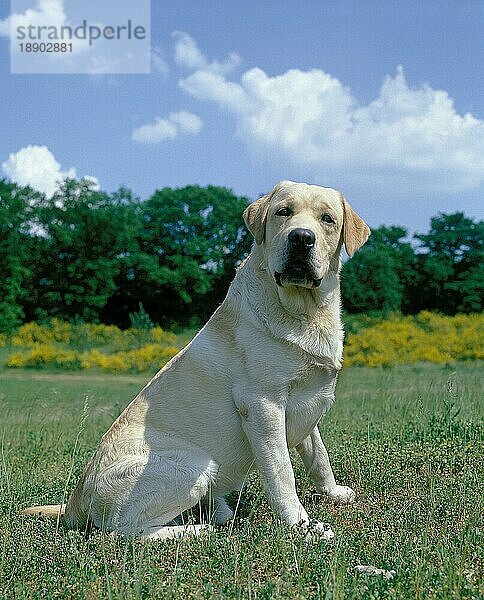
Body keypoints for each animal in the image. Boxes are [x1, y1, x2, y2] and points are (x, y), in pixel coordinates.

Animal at [22, 180, 370, 540]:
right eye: (283, 212)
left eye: (327, 219)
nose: (301, 238)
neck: (305, 311)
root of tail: (76, 499)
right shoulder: (264, 406)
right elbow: (282, 473)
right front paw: (302, 526)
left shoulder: (308, 401)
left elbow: (319, 457)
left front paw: (333, 492)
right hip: (190, 467)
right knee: (125, 533)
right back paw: (199, 530)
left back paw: (220, 512)